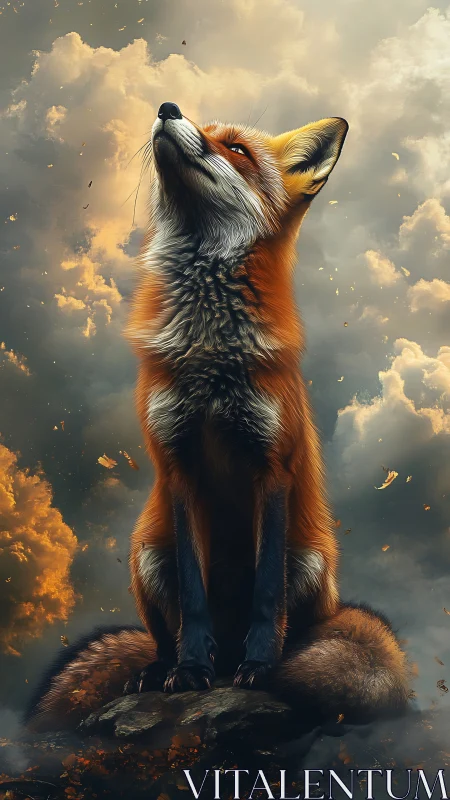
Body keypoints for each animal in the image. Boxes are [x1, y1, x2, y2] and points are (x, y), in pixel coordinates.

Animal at [26, 102, 410, 731]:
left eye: (236, 149)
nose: (166, 108)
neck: (208, 358)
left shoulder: (271, 465)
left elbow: (265, 595)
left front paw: (259, 667)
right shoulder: (178, 463)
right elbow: (194, 598)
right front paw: (189, 673)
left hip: (310, 558)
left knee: (297, 629)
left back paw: (256, 663)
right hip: (147, 553)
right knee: (167, 632)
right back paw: (164, 669)